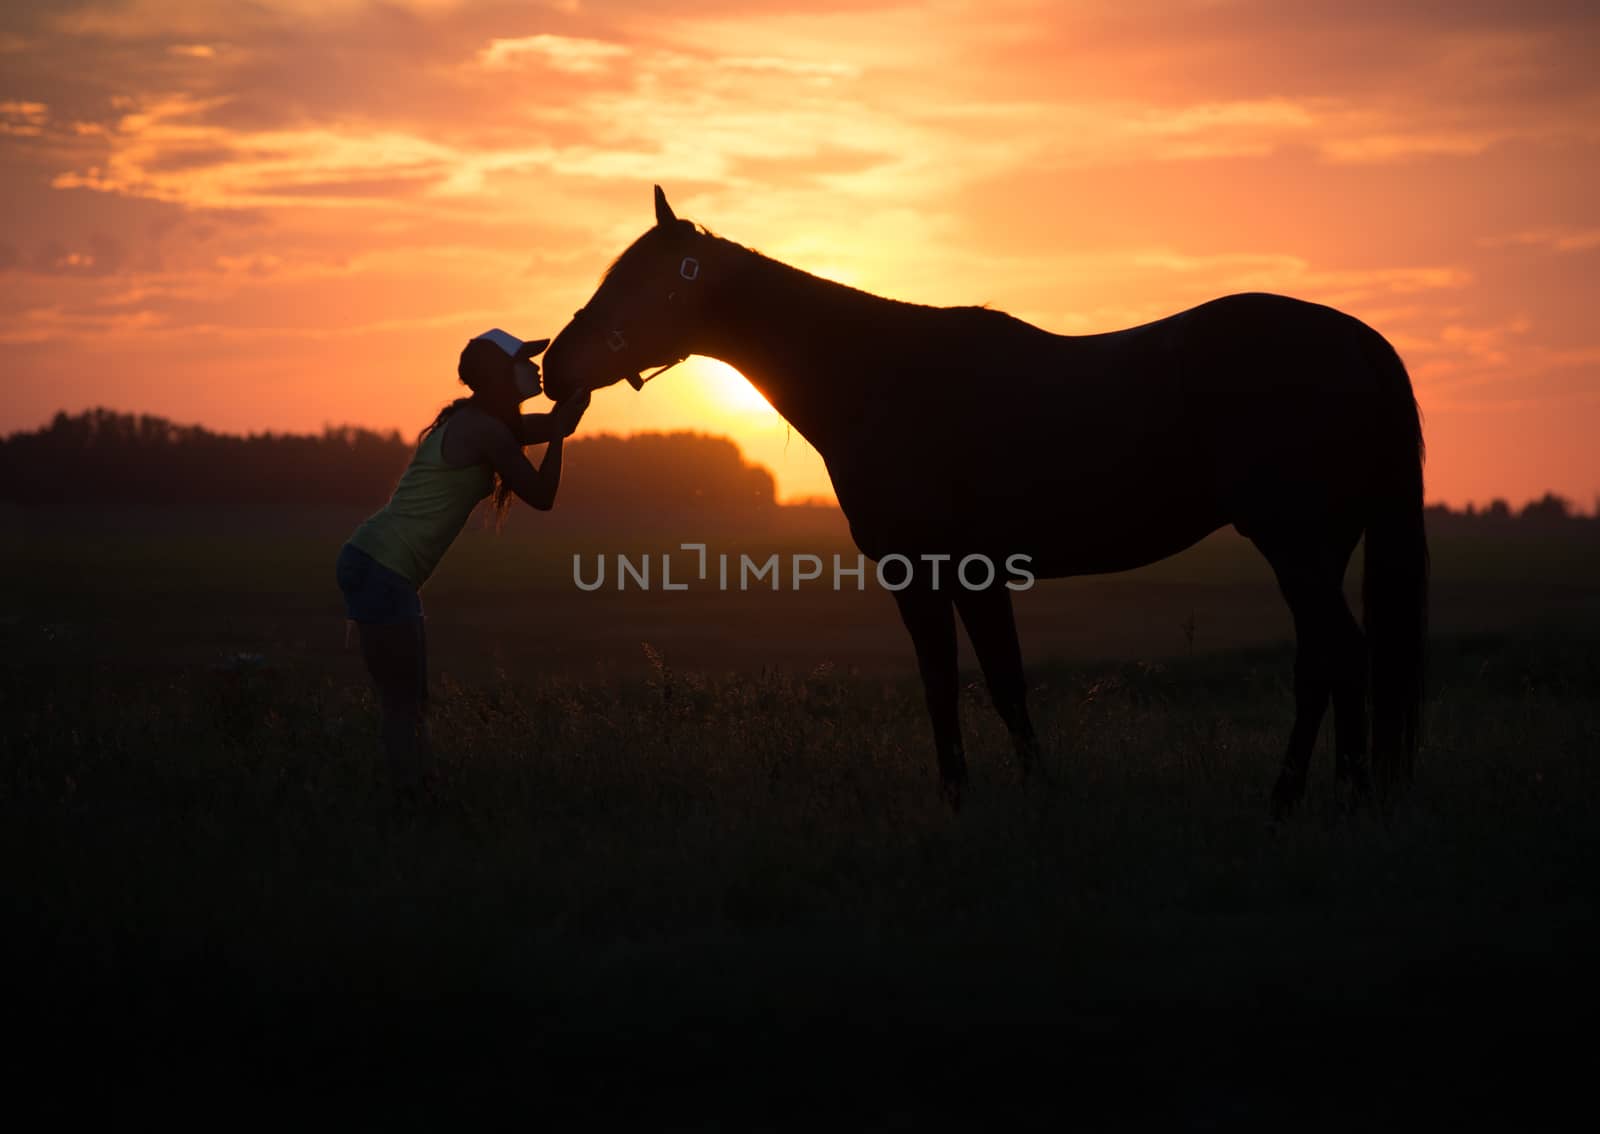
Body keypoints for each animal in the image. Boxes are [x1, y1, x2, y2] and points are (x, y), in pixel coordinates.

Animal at [544, 185, 1433, 809]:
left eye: (637, 284)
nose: (554, 363)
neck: (882, 380)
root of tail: (1357, 340)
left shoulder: (929, 569)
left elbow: (958, 681)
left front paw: (971, 797)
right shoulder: (971, 574)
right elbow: (998, 681)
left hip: (1297, 545)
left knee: (1337, 655)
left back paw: (1312, 799)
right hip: (1317, 548)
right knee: (1329, 661)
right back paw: (1316, 798)